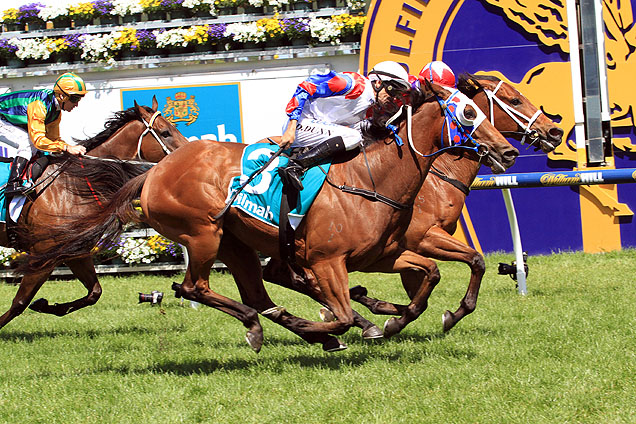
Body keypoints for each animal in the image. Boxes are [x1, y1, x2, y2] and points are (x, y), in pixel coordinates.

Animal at [0, 97, 189, 332]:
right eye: (165, 132)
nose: (190, 153)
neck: (75, 183)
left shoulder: (75, 252)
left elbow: (94, 292)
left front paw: (45, 305)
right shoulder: (43, 254)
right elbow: (19, 303)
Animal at [22, 82, 520, 352]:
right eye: (470, 112)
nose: (509, 152)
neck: (372, 178)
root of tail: (154, 171)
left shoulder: (383, 255)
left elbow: (433, 275)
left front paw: (400, 318)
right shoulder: (327, 260)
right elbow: (341, 312)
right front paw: (337, 325)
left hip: (235, 243)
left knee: (256, 294)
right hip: (204, 234)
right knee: (194, 287)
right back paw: (267, 329)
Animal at [260, 72, 564, 338]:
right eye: (514, 100)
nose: (555, 131)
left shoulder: (397, 247)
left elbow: (461, 267)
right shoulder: (422, 237)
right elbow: (457, 267)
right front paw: (402, 317)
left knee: (283, 276)